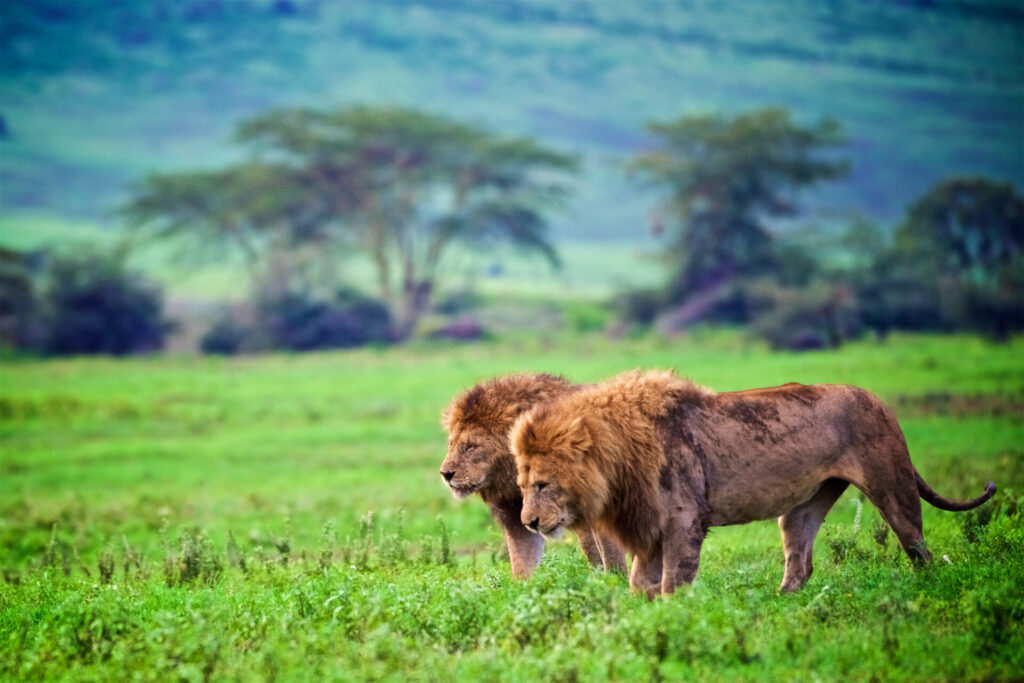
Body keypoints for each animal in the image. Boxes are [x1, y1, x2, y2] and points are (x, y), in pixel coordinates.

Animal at [438, 376, 622, 581]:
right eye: (451, 444)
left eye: (471, 446)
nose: (445, 474)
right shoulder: (515, 512)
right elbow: (522, 560)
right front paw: (524, 587)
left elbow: (609, 552)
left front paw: (614, 581)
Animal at [507, 368, 995, 598]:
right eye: (522, 484)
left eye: (543, 484)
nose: (529, 523)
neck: (619, 460)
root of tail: (878, 400)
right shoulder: (649, 527)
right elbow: (639, 583)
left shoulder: (685, 519)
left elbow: (672, 583)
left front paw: (672, 618)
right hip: (804, 505)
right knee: (801, 562)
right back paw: (777, 606)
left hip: (892, 485)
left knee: (919, 548)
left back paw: (928, 588)